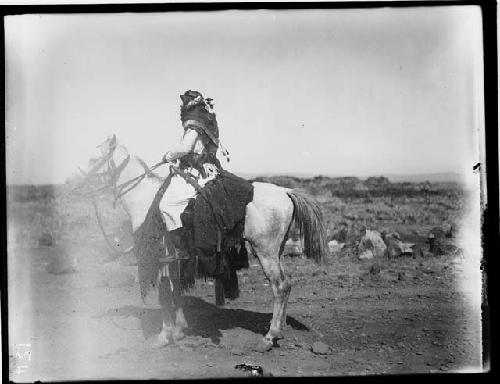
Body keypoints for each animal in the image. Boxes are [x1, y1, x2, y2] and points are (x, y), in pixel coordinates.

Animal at [76, 134, 328, 352]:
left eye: (93, 159)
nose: (75, 185)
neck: (144, 198)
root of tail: (285, 191)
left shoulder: (161, 257)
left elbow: (164, 295)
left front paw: (164, 335)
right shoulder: (174, 258)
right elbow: (175, 291)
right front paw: (179, 330)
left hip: (265, 251)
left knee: (280, 286)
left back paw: (269, 337)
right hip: (277, 250)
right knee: (287, 284)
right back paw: (279, 331)